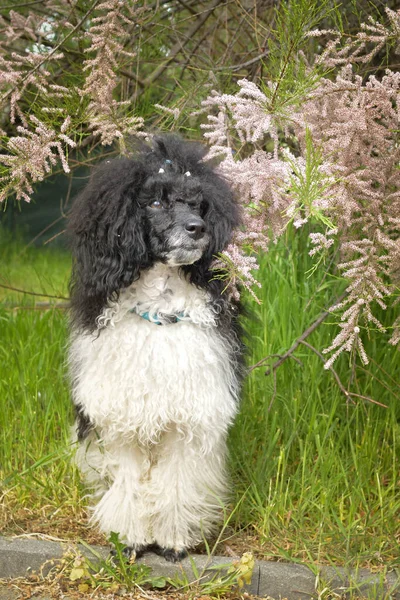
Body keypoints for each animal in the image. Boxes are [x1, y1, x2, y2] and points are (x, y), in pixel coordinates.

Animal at [68, 135, 244, 564]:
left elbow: (177, 482)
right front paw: (128, 539)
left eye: (198, 203)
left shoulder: (188, 419)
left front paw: (173, 541)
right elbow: (130, 482)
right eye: (155, 202)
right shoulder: (122, 418)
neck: (159, 313)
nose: (197, 229)